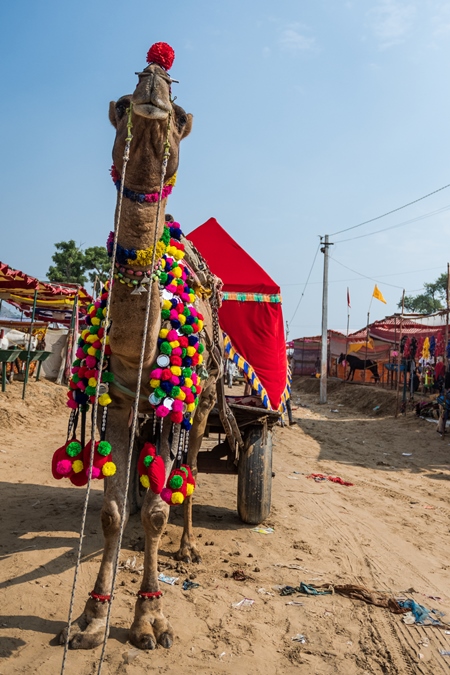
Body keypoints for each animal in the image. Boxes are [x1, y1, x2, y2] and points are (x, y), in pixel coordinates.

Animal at [59, 45, 221, 652]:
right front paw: (91, 618)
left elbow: (155, 510)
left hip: (203, 402)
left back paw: (187, 545)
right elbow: (109, 510)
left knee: (188, 472)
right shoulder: (120, 401)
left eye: (181, 113)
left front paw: (149, 619)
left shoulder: (171, 406)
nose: (156, 73)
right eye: (125, 102)